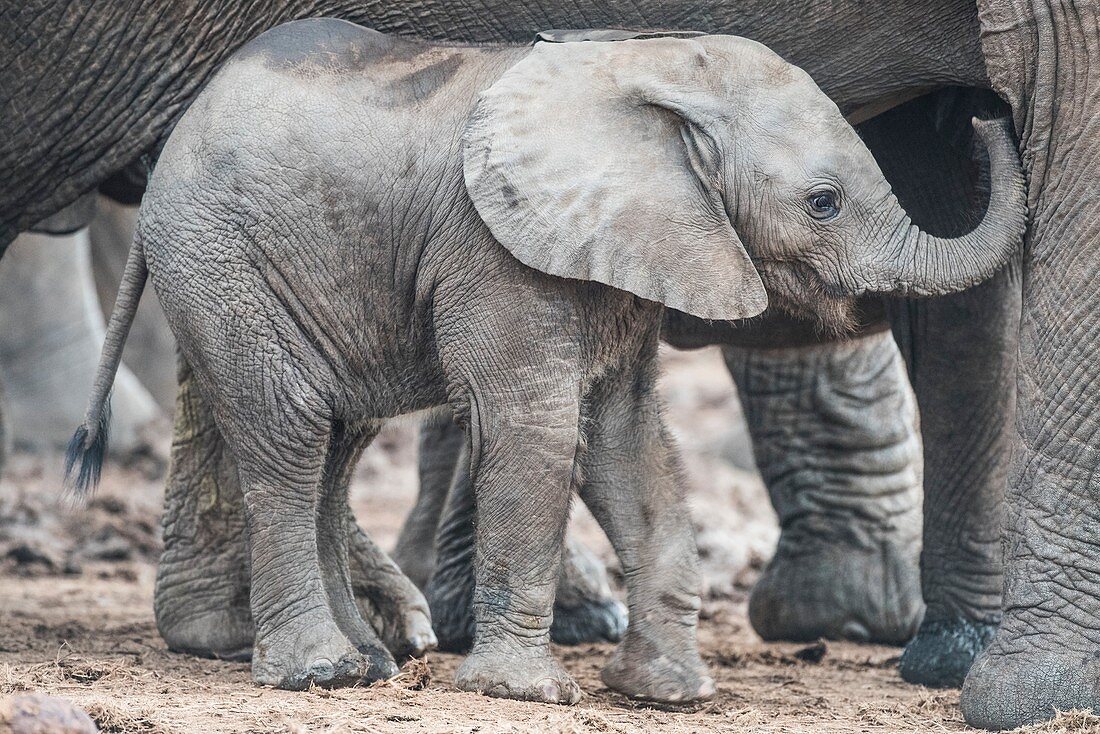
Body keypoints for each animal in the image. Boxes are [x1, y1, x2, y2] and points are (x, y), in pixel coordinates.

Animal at [0, 1, 1082, 730]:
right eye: (822, 202)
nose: (985, 118)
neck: (651, 75)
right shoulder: (499, 253)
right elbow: (534, 428)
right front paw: (525, 690)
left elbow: (625, 443)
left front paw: (667, 692)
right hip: (226, 265)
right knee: (290, 435)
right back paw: (322, 673)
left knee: (333, 445)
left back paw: (370, 656)